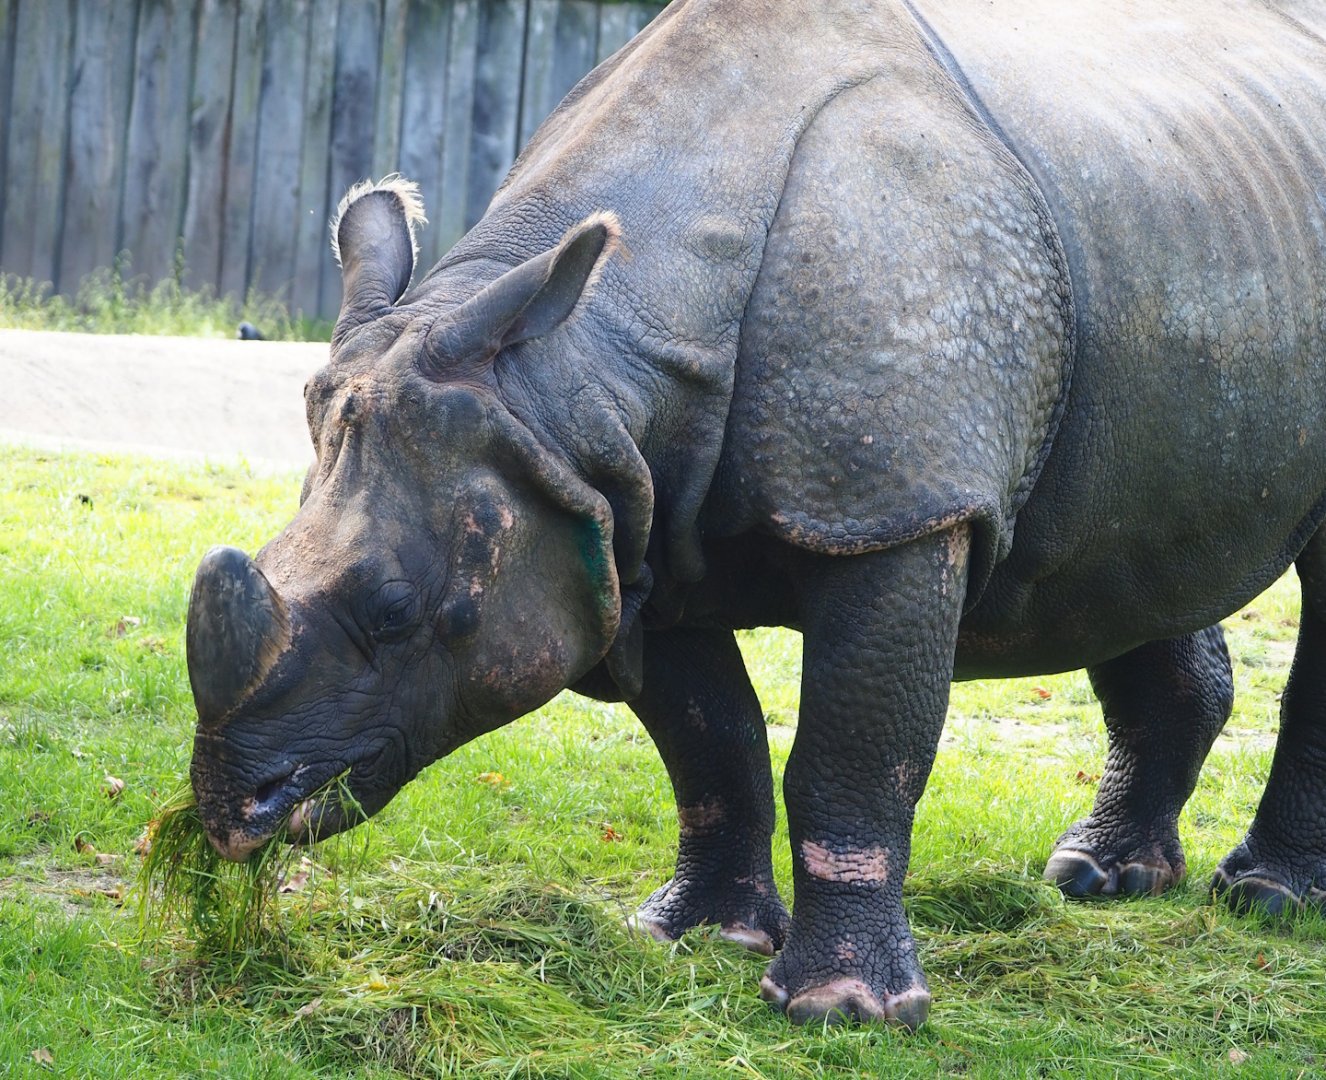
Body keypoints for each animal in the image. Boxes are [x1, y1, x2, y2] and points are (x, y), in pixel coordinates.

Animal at [185, 0, 1326, 1028]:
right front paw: (696, 936)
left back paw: (1265, 900)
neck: (584, 363)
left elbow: (850, 752)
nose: (233, 815)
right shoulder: (620, 514)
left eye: (398, 613)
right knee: (1123, 547)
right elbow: (709, 740)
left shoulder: (899, 511)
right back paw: (1100, 879)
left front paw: (842, 1009)